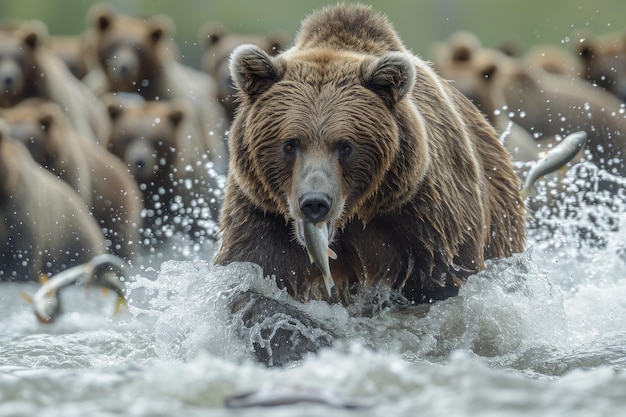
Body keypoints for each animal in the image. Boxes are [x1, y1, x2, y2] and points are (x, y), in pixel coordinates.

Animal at [214, 4, 528, 366]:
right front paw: (304, 339)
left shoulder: (423, 216)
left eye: (345, 145)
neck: (355, 214)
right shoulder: (261, 212)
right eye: (290, 144)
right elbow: (254, 283)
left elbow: (439, 290)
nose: (315, 202)